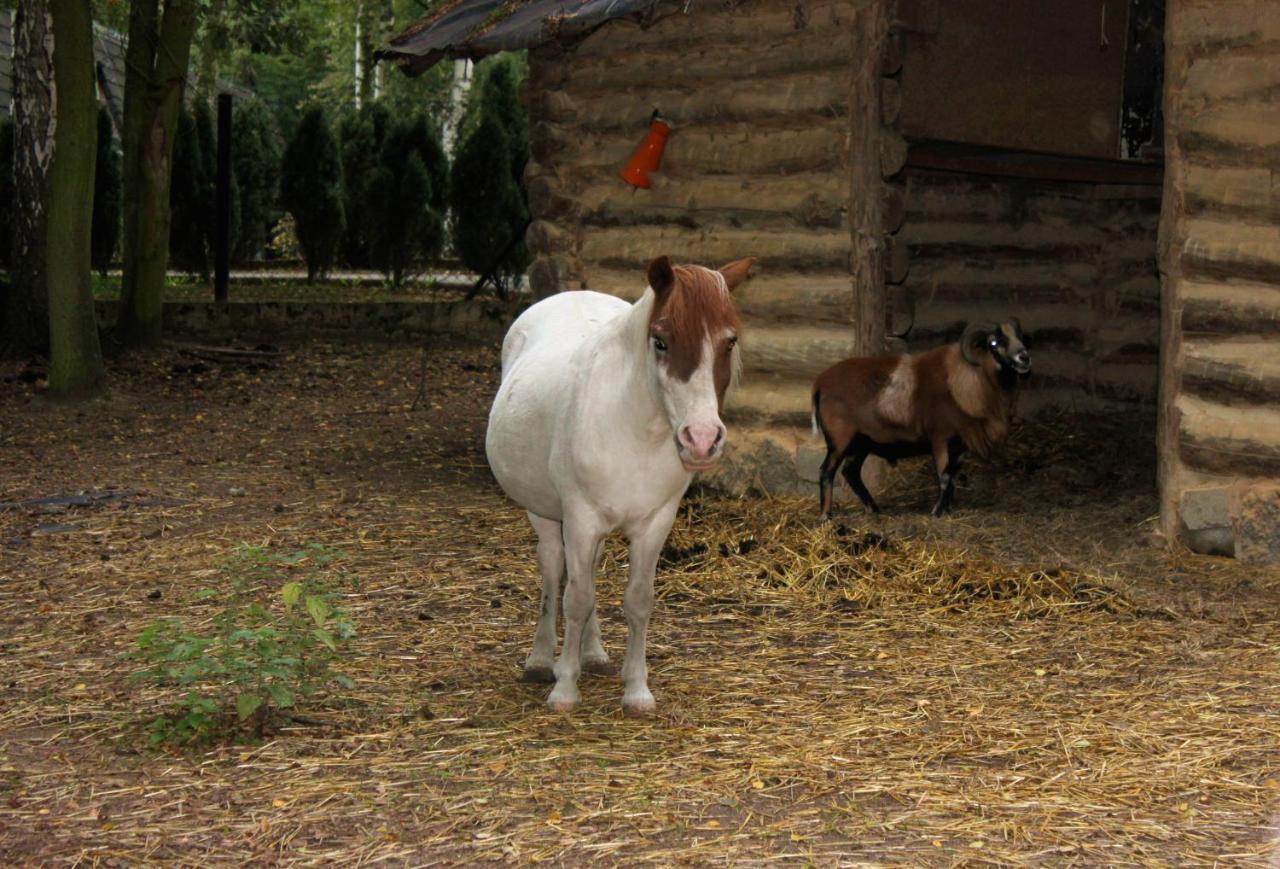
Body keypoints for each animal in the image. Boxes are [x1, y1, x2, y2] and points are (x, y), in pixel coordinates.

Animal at [486, 253, 747, 711]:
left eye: (728, 342)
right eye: (660, 341)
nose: (701, 439)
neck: (635, 431)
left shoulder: (655, 523)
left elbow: (637, 601)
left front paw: (636, 689)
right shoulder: (580, 519)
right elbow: (576, 599)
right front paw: (564, 688)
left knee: (588, 571)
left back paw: (593, 655)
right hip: (544, 513)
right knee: (553, 572)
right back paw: (541, 660)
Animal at [814, 321, 1034, 519]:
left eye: (1019, 337)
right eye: (994, 342)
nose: (1024, 358)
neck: (966, 379)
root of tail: (820, 383)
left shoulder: (959, 444)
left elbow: (953, 476)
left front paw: (948, 509)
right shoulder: (940, 437)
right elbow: (944, 476)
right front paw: (937, 512)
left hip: (862, 441)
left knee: (850, 472)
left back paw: (873, 509)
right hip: (840, 439)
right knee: (827, 471)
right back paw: (826, 515)